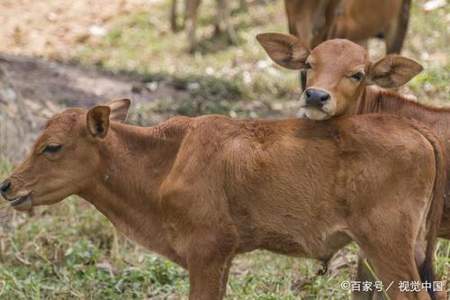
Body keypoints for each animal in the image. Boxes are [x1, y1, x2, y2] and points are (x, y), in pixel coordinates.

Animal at [0, 98, 444, 298]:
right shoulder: (224, 258)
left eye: (52, 147)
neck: (164, 163)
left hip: (387, 248)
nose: (8, 186)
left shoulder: (206, 253)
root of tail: (416, 129)